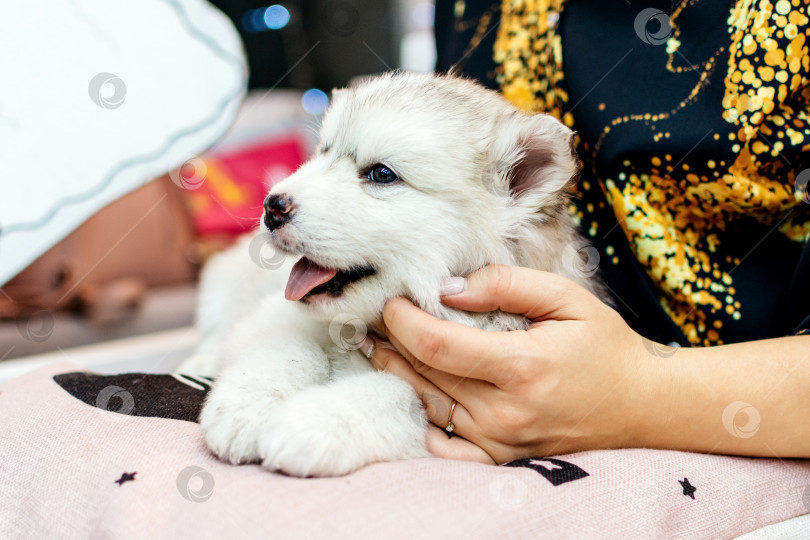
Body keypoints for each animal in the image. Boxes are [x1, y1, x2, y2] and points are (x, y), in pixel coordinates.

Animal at [178, 70, 608, 476]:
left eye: (382, 174)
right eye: (322, 155)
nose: (272, 205)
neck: (360, 328)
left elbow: (389, 393)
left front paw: (308, 424)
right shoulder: (278, 317)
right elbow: (289, 352)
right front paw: (246, 408)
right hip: (227, 281)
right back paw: (200, 364)